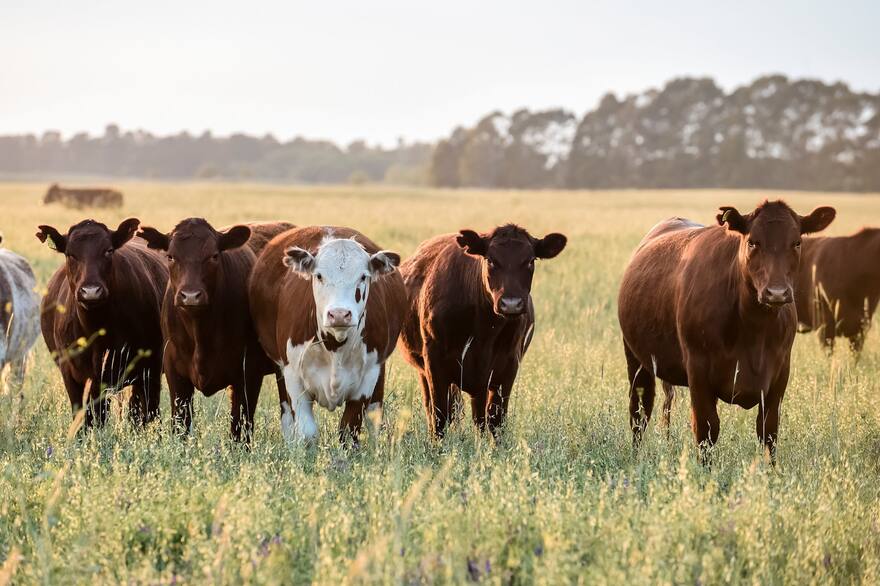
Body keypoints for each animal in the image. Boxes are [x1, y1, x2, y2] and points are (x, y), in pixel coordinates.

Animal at [37, 218, 168, 429]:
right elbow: (86, 419)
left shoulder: (151, 368)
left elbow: (149, 414)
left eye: (108, 250)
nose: (91, 291)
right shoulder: (75, 376)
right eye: (70, 254)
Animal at [137, 219, 293, 442]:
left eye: (214, 256)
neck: (201, 332)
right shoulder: (174, 371)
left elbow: (240, 427)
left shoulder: (249, 372)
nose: (190, 295)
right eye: (170, 256)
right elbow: (180, 424)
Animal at [249, 226, 406, 444]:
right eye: (319, 276)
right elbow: (307, 433)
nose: (339, 314)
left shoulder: (368, 377)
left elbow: (349, 431)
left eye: (363, 276)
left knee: (374, 415)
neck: (335, 346)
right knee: (287, 416)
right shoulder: (293, 376)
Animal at [398, 224, 567, 438]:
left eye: (530, 261)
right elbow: (439, 416)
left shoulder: (507, 366)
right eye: (490, 260)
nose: (511, 304)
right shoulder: (434, 362)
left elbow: (495, 420)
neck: (483, 330)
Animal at [617, 201, 836, 462]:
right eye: (752, 242)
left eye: (797, 243)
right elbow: (706, 430)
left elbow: (769, 431)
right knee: (640, 412)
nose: (777, 293)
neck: (753, 330)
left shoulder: (781, 372)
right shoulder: (698, 369)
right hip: (636, 358)